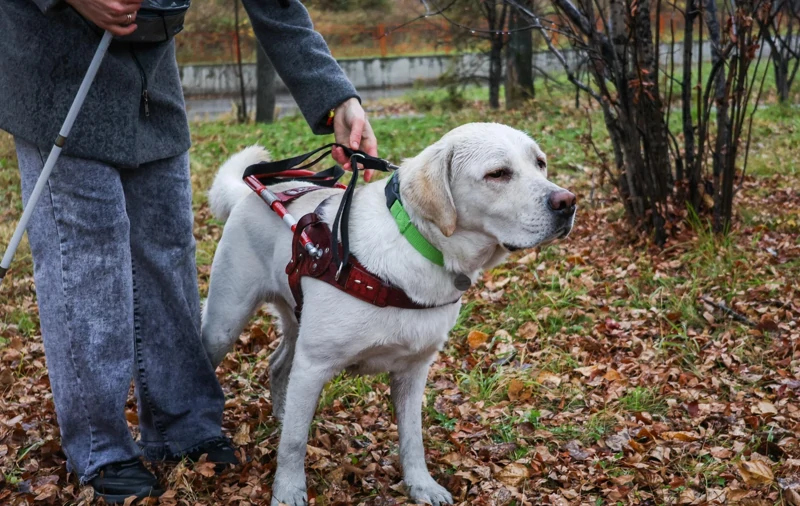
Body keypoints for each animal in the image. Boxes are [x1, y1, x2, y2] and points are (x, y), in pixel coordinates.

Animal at [200, 123, 576, 506]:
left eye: (540, 163)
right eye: (497, 174)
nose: (567, 202)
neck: (419, 247)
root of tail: (256, 193)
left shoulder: (413, 371)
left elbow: (413, 439)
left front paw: (421, 485)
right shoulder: (313, 365)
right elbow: (294, 444)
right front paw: (288, 491)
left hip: (296, 321)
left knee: (277, 366)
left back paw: (280, 415)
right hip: (225, 323)